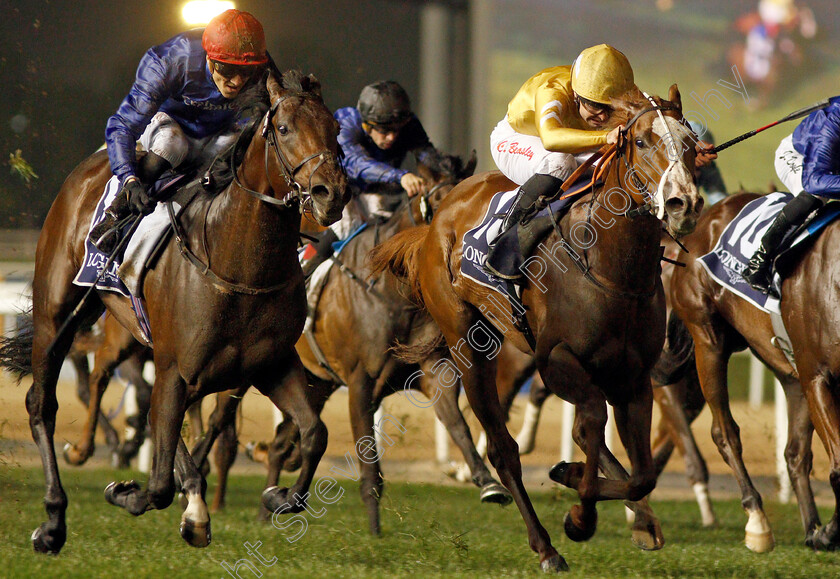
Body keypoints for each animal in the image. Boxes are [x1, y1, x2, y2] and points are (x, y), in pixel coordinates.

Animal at [0, 70, 348, 556]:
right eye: (283, 129)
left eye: (336, 129)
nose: (331, 193)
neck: (237, 264)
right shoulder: (178, 366)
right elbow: (160, 483)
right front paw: (125, 492)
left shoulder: (270, 364)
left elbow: (315, 433)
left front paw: (277, 497)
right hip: (57, 315)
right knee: (43, 404)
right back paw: (53, 521)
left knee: (156, 413)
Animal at [368, 86, 704, 572]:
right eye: (642, 141)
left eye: (692, 142)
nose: (684, 203)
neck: (609, 267)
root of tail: (438, 219)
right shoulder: (558, 361)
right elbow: (590, 423)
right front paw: (579, 518)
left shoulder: (634, 377)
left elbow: (639, 473)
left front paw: (582, 482)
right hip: (468, 343)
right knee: (503, 448)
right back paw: (546, 547)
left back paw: (634, 516)